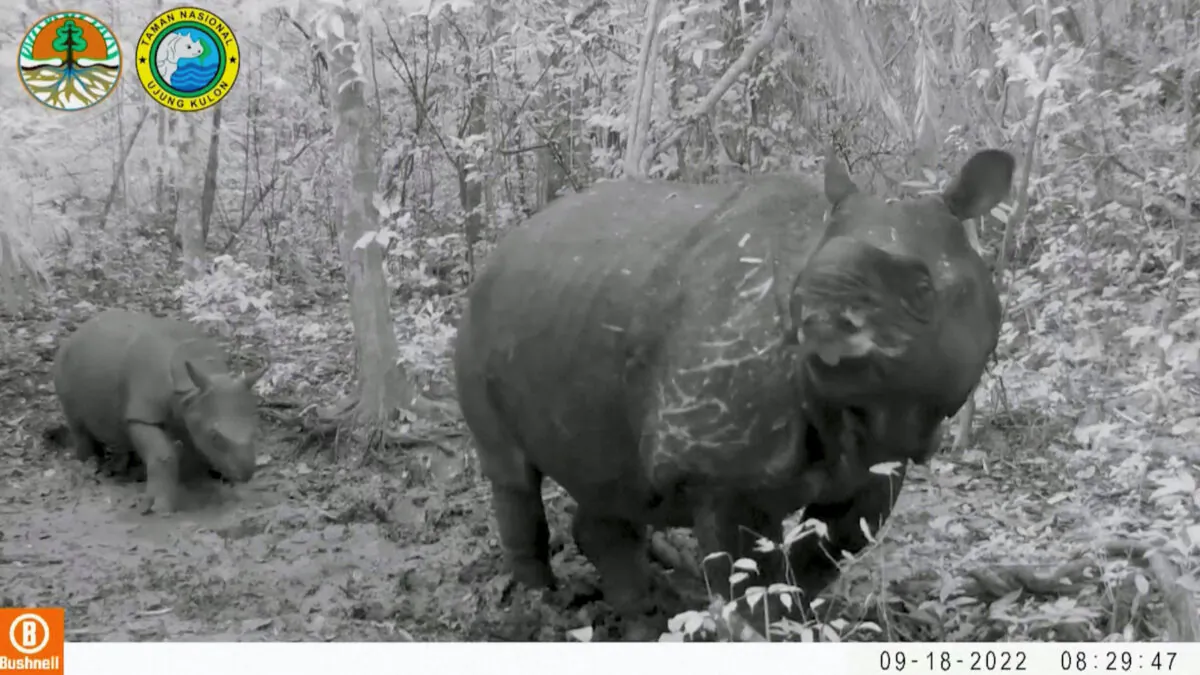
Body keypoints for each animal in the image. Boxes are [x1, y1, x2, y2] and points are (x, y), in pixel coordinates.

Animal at [52, 309, 267, 514]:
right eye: (215, 436)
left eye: (256, 432)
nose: (247, 473)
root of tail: (77, 331)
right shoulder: (142, 415)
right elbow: (163, 454)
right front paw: (158, 508)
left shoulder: (191, 408)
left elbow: (195, 445)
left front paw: (203, 485)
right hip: (63, 365)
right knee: (79, 427)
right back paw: (90, 468)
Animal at [453, 148, 1014, 633]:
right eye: (797, 292)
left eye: (922, 289)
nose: (818, 315)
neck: (862, 415)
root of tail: (505, 245)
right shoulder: (718, 470)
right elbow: (746, 573)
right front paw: (763, 632)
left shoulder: (883, 458)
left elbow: (829, 549)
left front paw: (798, 621)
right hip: (478, 321)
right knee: (513, 474)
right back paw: (540, 604)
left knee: (612, 481)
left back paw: (642, 615)